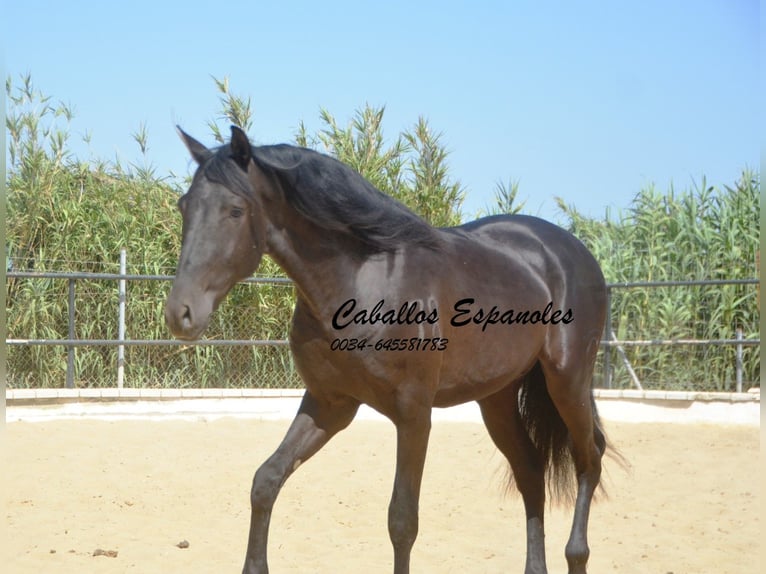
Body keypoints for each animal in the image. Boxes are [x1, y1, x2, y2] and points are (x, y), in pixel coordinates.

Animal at [165, 126, 608, 574]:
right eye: (185, 206)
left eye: (235, 210)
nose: (180, 314)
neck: (364, 282)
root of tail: (573, 250)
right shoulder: (331, 404)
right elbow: (266, 480)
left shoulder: (414, 414)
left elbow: (402, 520)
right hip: (496, 398)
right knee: (531, 472)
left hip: (566, 382)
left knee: (590, 457)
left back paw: (578, 555)